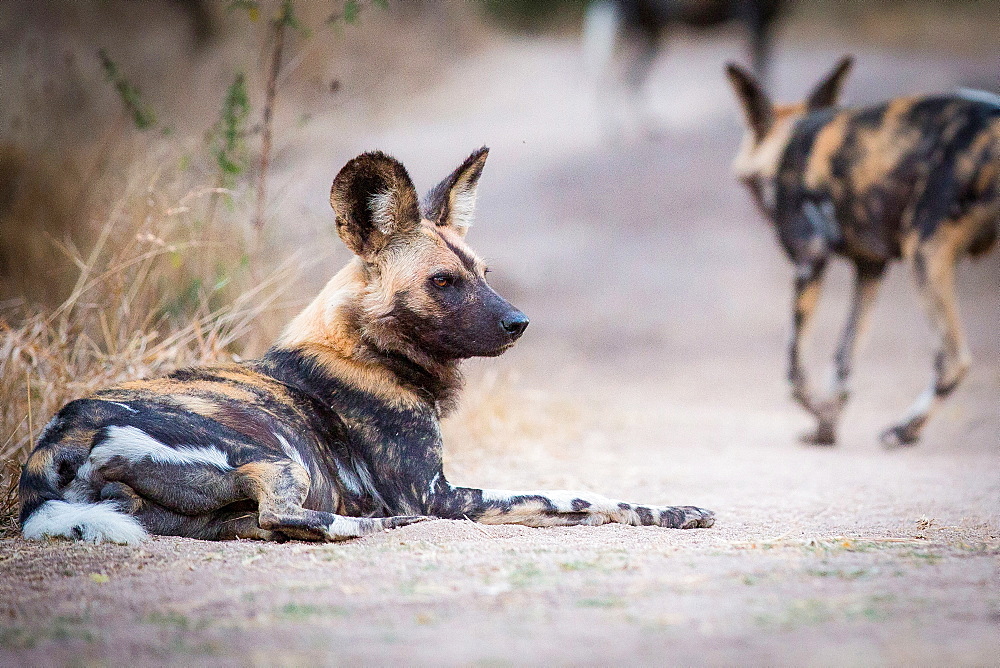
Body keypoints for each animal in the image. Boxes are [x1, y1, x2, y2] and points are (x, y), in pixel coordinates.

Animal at [19, 147, 716, 544]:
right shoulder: (439, 495)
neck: (368, 351)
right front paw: (666, 510)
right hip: (276, 458)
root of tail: (56, 442)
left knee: (255, 524)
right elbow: (578, 495)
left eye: (483, 273)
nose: (519, 323)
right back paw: (378, 525)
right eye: (443, 282)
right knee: (284, 514)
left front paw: (678, 511)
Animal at [728, 54, 1000, 446]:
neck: (786, 143)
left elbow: (794, 370)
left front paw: (819, 414)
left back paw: (903, 430)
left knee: (953, 358)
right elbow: (843, 359)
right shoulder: (870, 269)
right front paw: (826, 428)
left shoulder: (809, 261)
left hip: (924, 250)